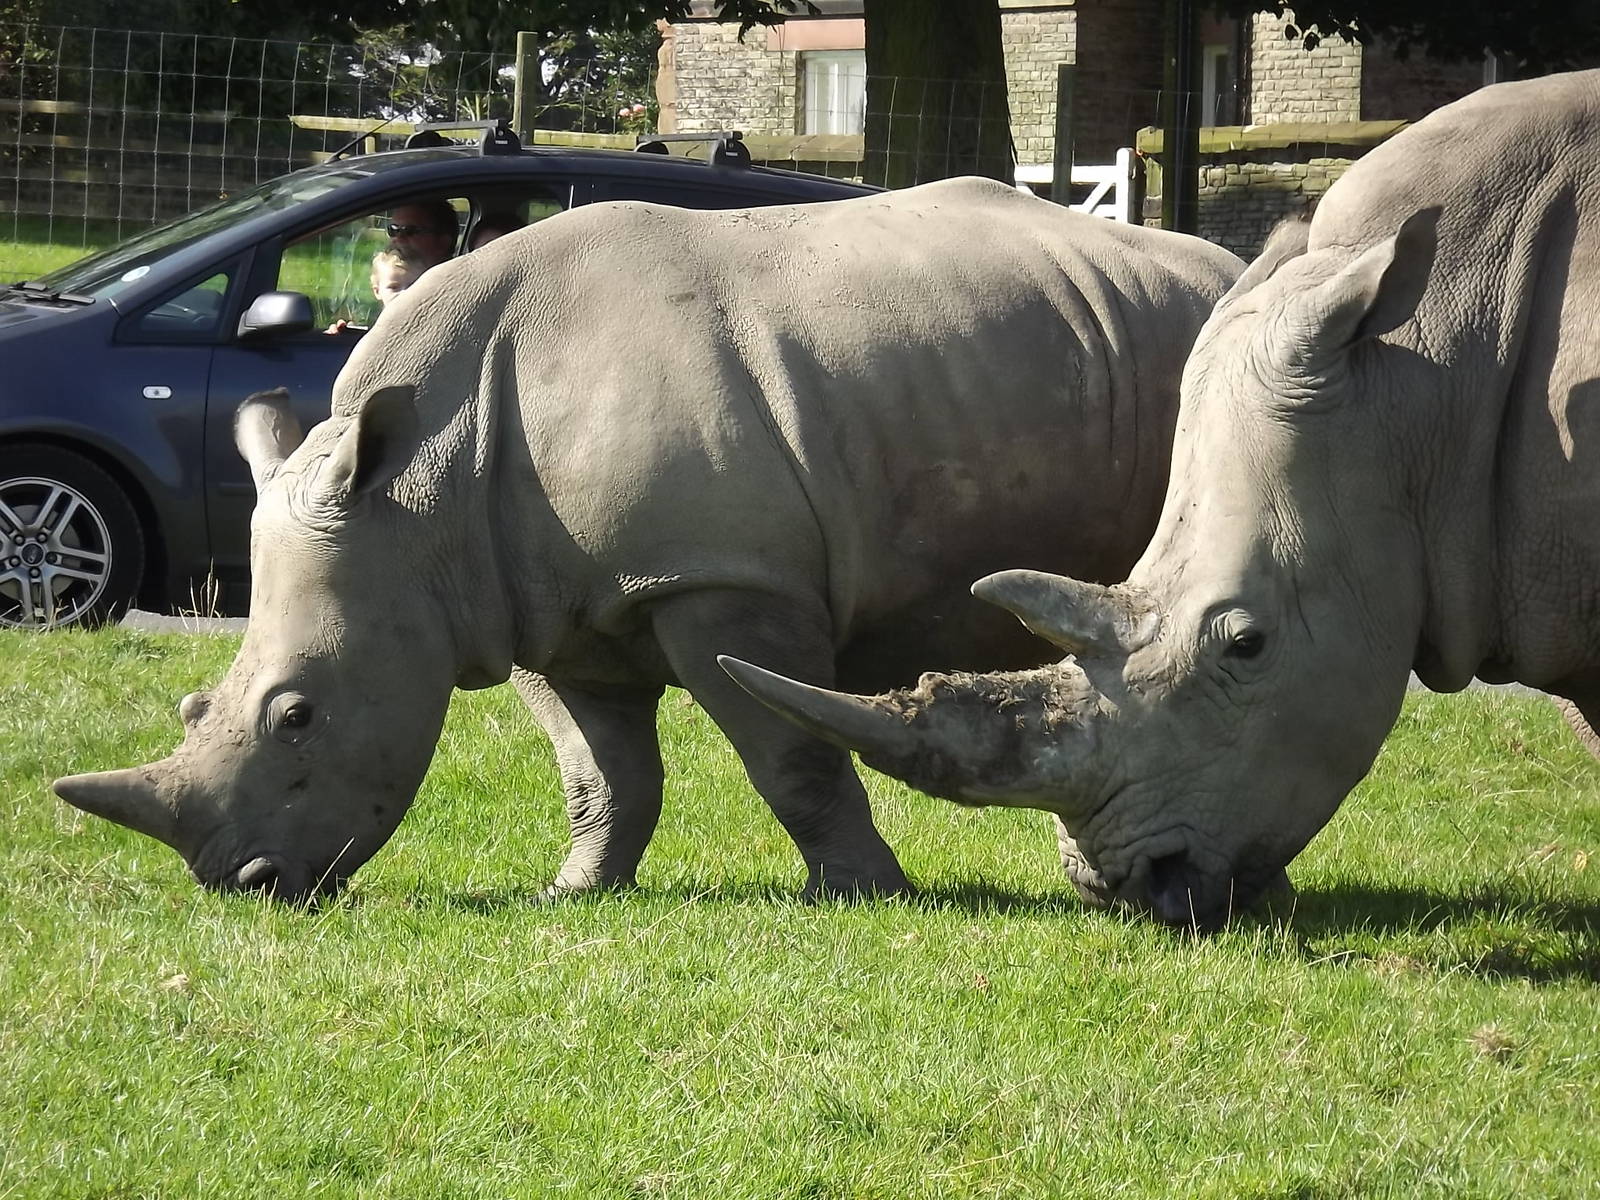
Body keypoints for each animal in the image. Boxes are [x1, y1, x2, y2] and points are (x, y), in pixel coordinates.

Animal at [52, 176, 1240, 902]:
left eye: (296, 716)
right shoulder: (532, 603)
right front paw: (576, 891)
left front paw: (870, 894)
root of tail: (1225, 264)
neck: (418, 498)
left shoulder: (719, 581)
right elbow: (601, 769)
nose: (247, 884)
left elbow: (792, 754)